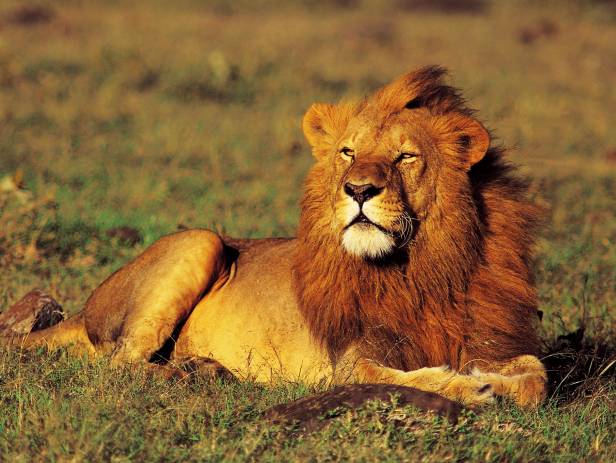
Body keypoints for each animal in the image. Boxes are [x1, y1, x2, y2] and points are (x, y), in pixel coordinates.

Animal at [1, 65, 548, 406]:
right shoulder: (350, 363)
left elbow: (536, 379)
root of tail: (85, 308)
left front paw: (495, 381)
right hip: (201, 240)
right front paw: (470, 388)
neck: (420, 267)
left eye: (405, 156)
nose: (358, 190)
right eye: (348, 152)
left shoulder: (489, 336)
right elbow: (410, 382)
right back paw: (191, 374)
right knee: (118, 366)